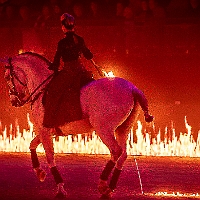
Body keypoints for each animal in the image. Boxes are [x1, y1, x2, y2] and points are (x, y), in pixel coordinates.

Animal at [1, 51, 153, 198]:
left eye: (8, 77)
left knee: (116, 151)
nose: (14, 101)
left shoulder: (44, 131)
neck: (43, 88)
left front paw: (60, 188)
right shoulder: (48, 131)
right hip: (122, 129)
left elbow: (50, 156)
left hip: (104, 129)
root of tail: (132, 88)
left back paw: (103, 184)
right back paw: (110, 188)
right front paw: (40, 172)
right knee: (123, 155)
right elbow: (32, 144)